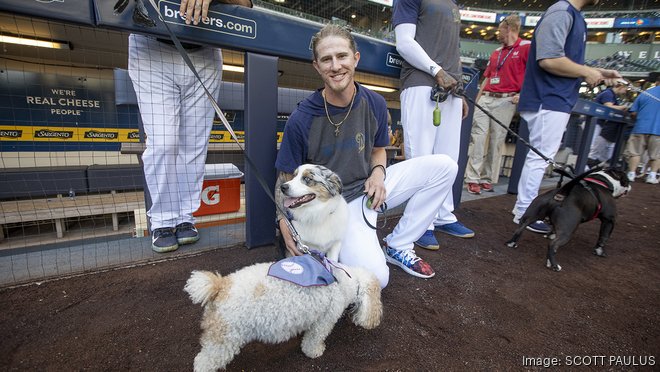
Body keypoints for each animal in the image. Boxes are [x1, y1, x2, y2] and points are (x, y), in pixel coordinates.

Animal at [183, 262, 384, 372]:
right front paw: (315, 352)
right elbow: (313, 341)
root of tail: (221, 285)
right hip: (224, 340)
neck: (344, 281)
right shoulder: (324, 321)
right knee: (202, 362)